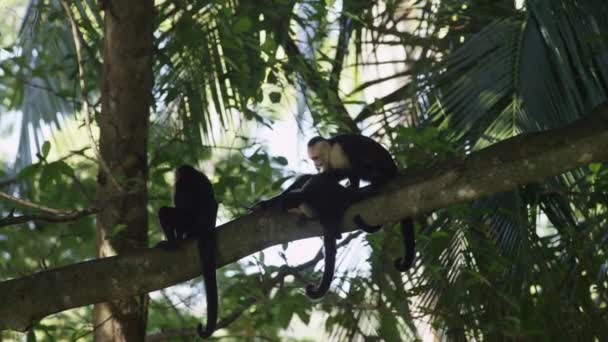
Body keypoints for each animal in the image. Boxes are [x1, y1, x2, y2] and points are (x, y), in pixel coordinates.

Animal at [157, 164, 221, 338]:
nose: (176, 174)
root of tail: (205, 229)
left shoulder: (180, 186)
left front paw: (177, 239)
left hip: (188, 222)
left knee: (165, 212)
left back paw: (173, 243)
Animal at [306, 135, 416, 272]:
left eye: (315, 158)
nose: (315, 164)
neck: (330, 147)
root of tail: (393, 169)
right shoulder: (327, 163)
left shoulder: (337, 151)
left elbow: (348, 170)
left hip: (380, 169)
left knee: (357, 165)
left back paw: (375, 181)